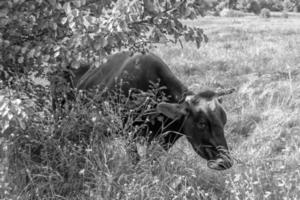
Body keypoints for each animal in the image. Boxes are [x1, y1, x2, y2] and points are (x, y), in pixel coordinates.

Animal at [68, 51, 234, 170]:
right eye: (201, 123)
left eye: (224, 121)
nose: (225, 162)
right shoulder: (127, 133)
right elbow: (135, 161)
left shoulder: (165, 139)